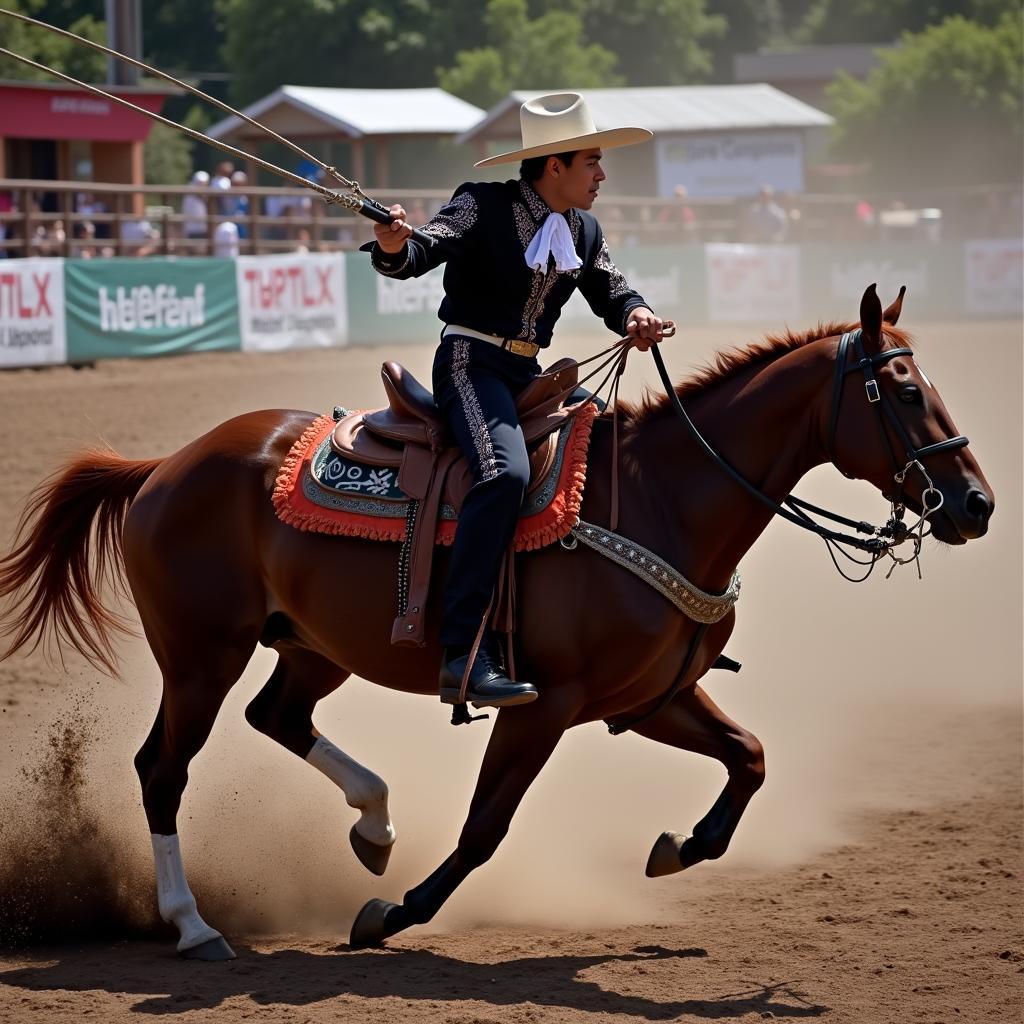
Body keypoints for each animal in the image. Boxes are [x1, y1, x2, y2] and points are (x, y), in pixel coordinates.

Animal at [0, 282, 991, 958]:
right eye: (904, 392)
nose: (977, 504)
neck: (660, 498)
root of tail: (167, 463)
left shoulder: (651, 698)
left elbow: (749, 756)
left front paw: (679, 848)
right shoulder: (543, 704)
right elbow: (485, 825)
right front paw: (394, 914)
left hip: (316, 645)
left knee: (277, 716)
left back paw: (373, 827)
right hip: (201, 653)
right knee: (162, 769)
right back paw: (193, 924)